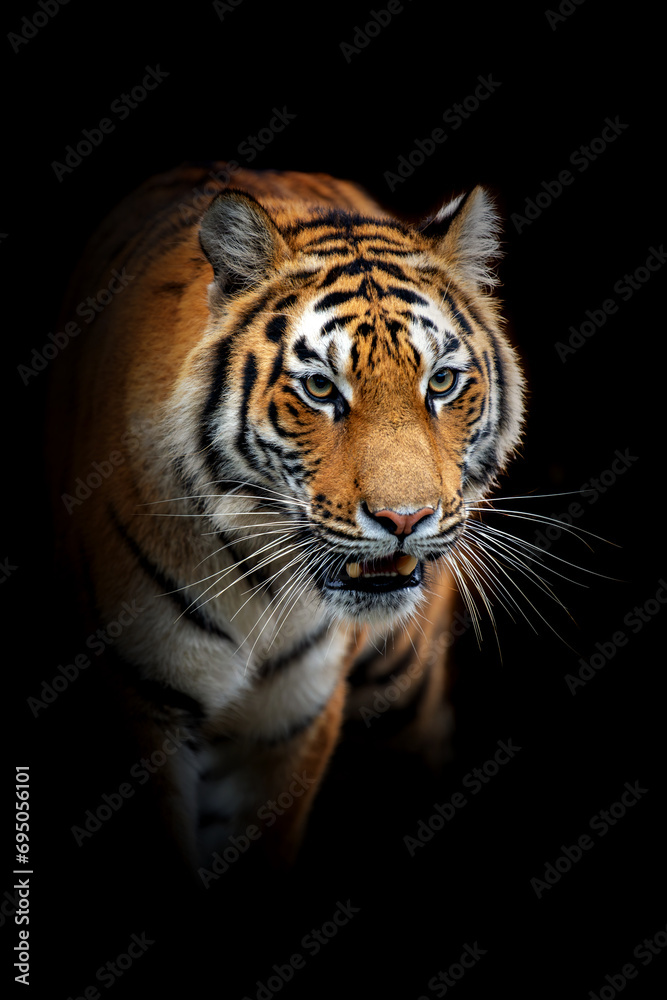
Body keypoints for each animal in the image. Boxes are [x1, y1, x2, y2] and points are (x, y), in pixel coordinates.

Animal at [47, 162, 525, 875]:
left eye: (440, 382)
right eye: (321, 389)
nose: (405, 518)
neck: (259, 591)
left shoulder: (292, 721)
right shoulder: (140, 703)